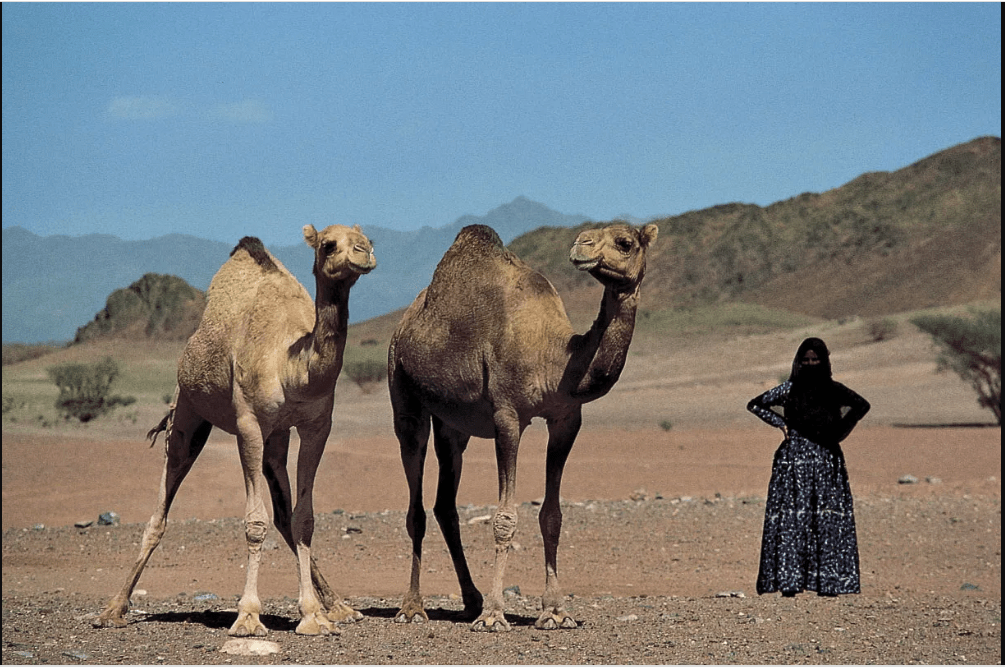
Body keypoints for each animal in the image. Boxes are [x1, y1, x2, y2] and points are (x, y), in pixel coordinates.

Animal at [93, 225, 375, 636]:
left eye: (366, 237)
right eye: (328, 245)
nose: (363, 252)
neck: (291, 365)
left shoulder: (315, 426)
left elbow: (303, 518)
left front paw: (313, 615)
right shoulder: (249, 425)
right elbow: (255, 522)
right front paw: (248, 616)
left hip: (276, 439)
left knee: (285, 516)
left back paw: (338, 606)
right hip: (188, 412)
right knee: (161, 509)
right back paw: (112, 609)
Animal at [388, 222, 658, 631]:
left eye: (625, 243)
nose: (582, 246)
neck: (553, 359)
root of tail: (404, 322)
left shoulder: (566, 420)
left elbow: (552, 516)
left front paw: (556, 612)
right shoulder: (507, 417)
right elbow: (504, 518)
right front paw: (494, 616)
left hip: (453, 424)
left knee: (445, 504)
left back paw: (471, 600)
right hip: (401, 386)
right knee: (415, 500)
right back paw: (413, 606)